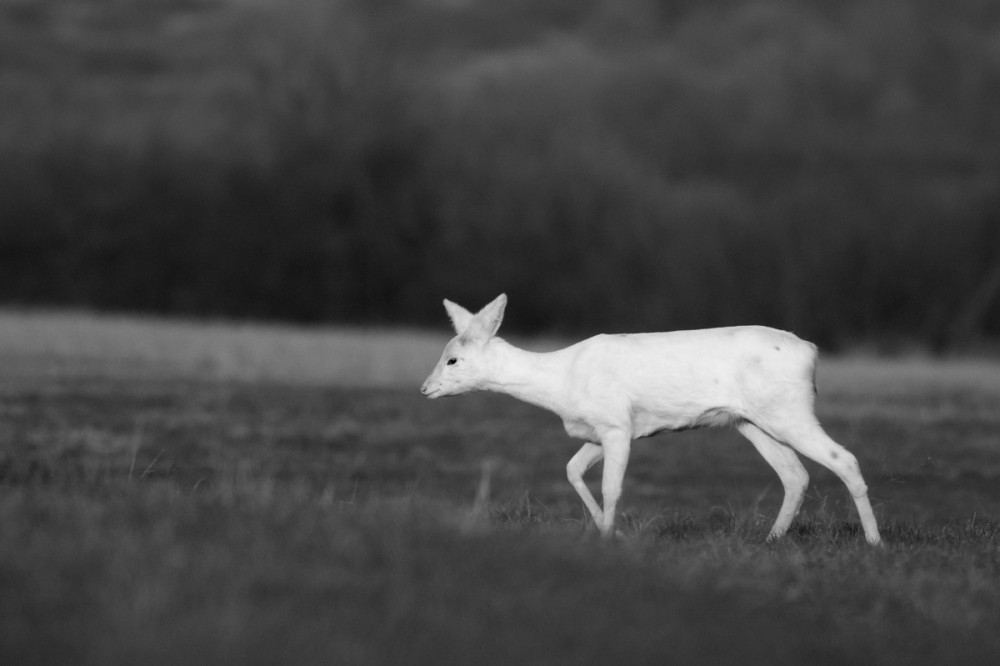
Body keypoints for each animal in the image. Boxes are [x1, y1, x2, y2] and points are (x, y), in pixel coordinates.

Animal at [422, 294, 884, 544]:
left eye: (453, 358)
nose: (425, 389)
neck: (561, 380)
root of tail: (812, 351)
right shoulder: (603, 430)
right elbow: (571, 470)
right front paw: (609, 532)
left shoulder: (617, 426)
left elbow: (611, 487)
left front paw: (610, 538)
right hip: (754, 421)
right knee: (795, 475)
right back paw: (769, 540)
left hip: (790, 412)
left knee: (844, 459)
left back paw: (875, 543)